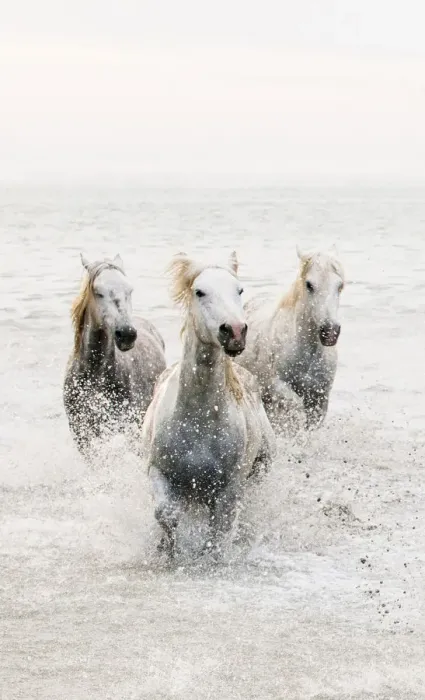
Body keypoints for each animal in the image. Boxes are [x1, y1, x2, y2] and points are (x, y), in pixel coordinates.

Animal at [142, 251, 276, 558]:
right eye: (199, 292)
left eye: (239, 290)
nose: (235, 331)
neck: (198, 420)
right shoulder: (158, 472)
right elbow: (166, 514)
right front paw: (168, 552)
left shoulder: (229, 488)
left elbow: (219, 530)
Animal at [235, 247, 345, 430]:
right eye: (309, 285)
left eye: (340, 285)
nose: (330, 332)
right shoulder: (276, 387)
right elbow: (294, 408)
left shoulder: (320, 398)